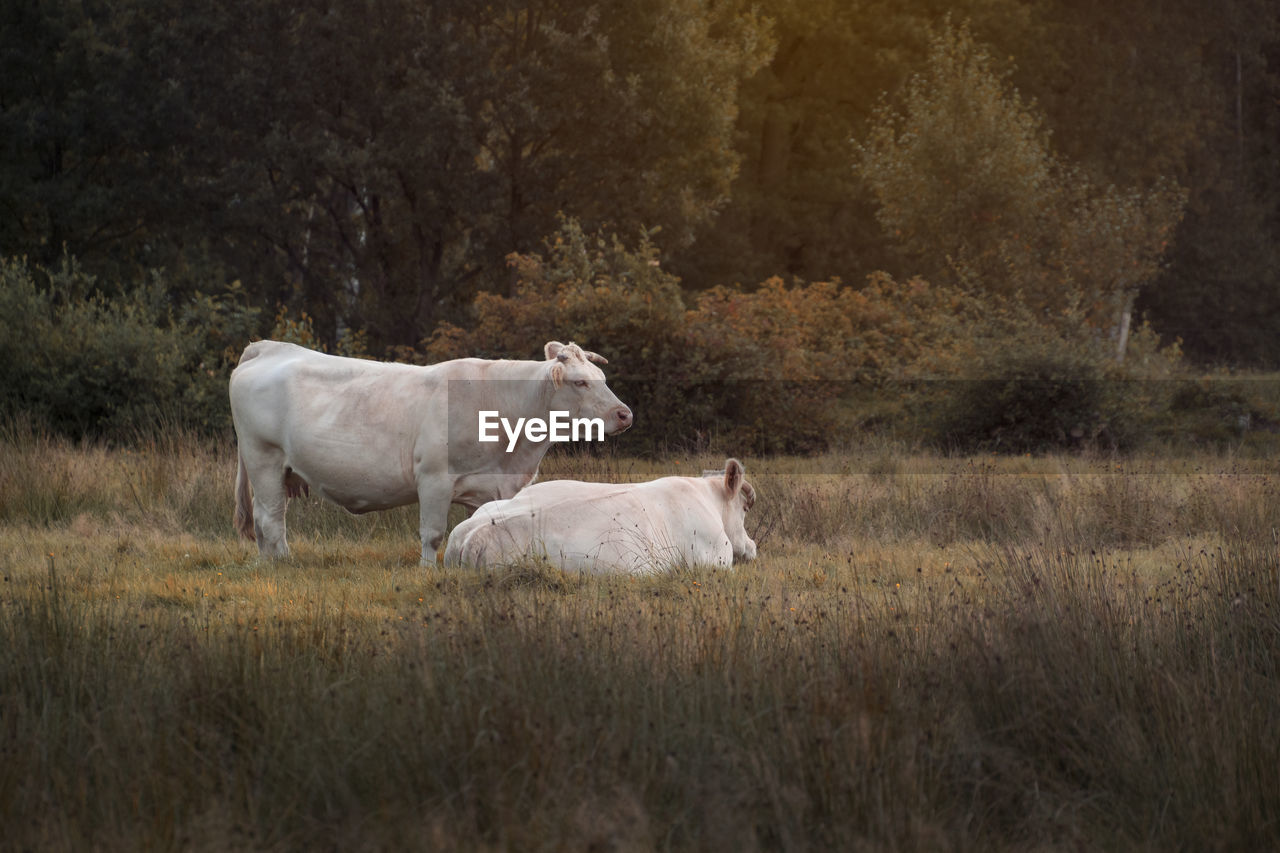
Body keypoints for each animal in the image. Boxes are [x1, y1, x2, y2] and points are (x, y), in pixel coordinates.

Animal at [232, 338, 632, 563]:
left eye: (602, 379)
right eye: (580, 382)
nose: (624, 414)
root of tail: (268, 348)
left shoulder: (493, 488)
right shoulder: (434, 478)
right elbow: (433, 533)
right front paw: (426, 570)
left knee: (264, 522)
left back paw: (266, 564)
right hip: (263, 457)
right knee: (271, 518)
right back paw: (285, 563)